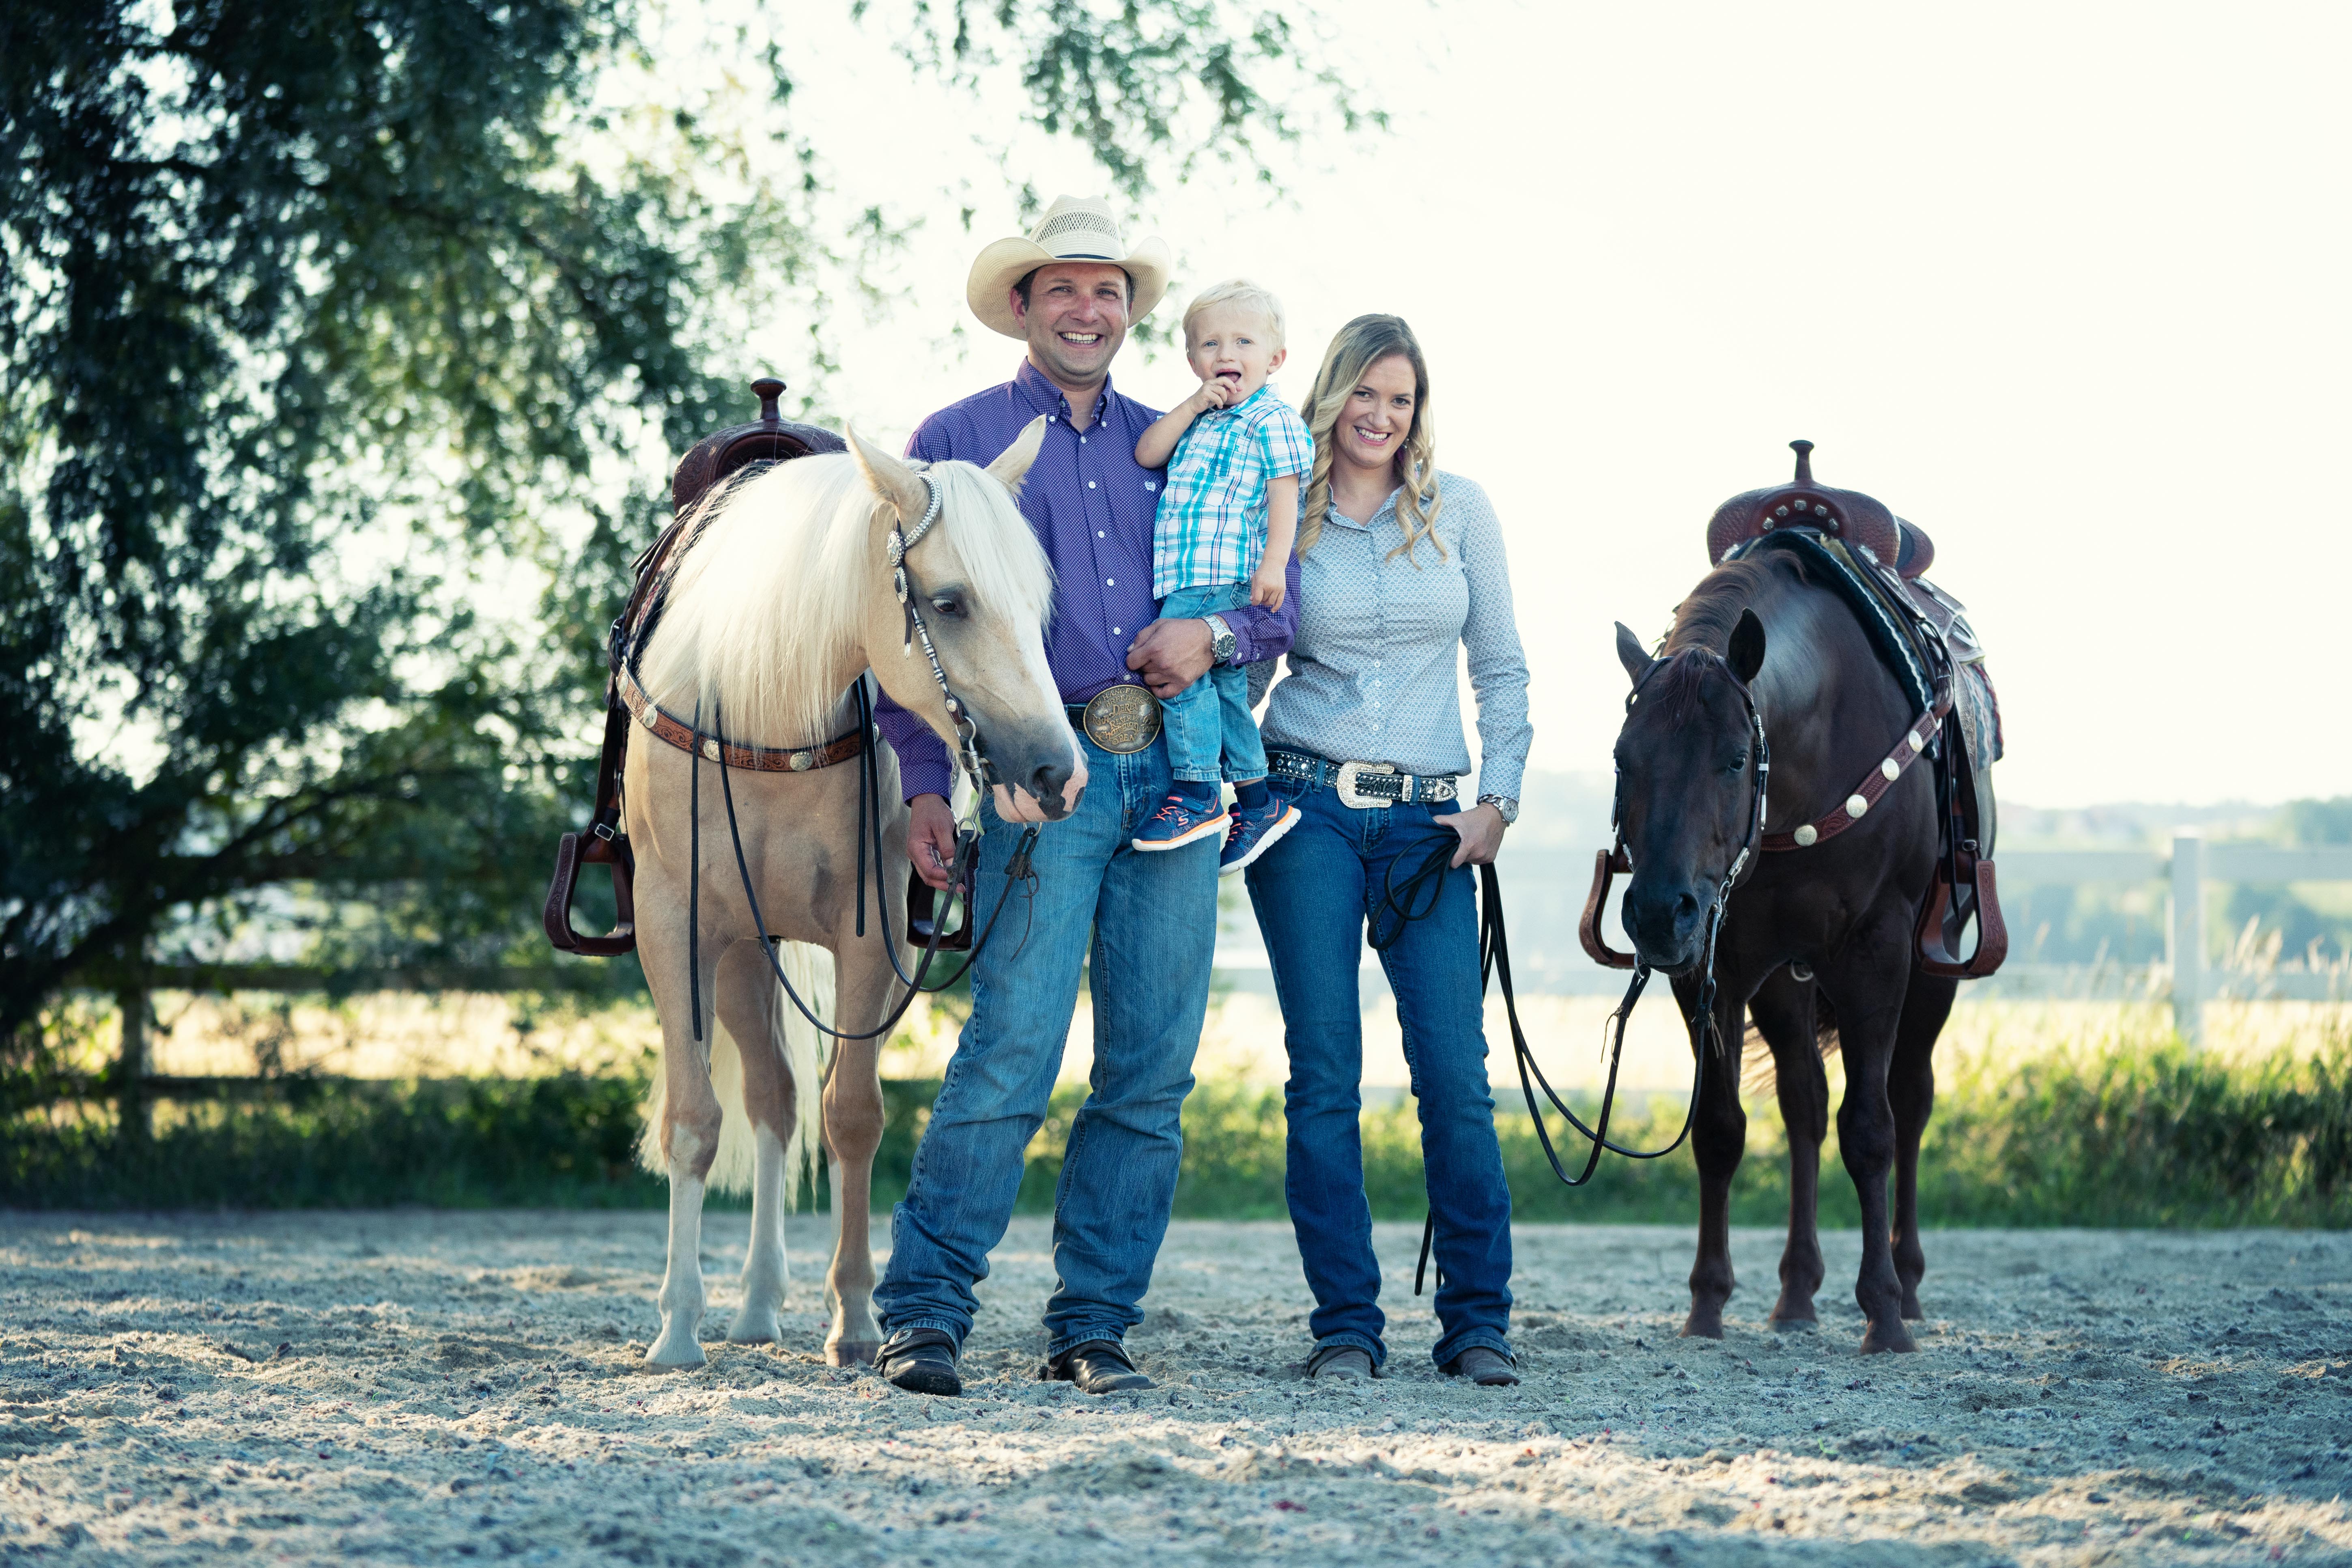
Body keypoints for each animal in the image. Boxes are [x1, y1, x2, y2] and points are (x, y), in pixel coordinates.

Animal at [623, 420, 1079, 1369]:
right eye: (949, 603)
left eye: (1037, 604)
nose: (1058, 773)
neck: (761, 714)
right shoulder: (674, 928)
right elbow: (692, 1120)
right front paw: (676, 1328)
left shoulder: (873, 941)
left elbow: (854, 1117)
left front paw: (860, 1320)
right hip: (739, 956)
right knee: (765, 1100)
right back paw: (743, 1306)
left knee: (781, 1101)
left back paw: (762, 1302)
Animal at [1606, 537, 1995, 1354]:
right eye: (1625, 758)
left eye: (1731, 757)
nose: (1656, 913)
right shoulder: (1712, 964)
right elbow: (1720, 1130)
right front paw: (1707, 1305)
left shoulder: (1879, 952)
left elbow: (1871, 1130)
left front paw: (1883, 1314)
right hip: (1786, 980)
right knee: (1804, 1106)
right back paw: (1795, 1295)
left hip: (1932, 971)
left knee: (1909, 1100)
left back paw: (1907, 1284)